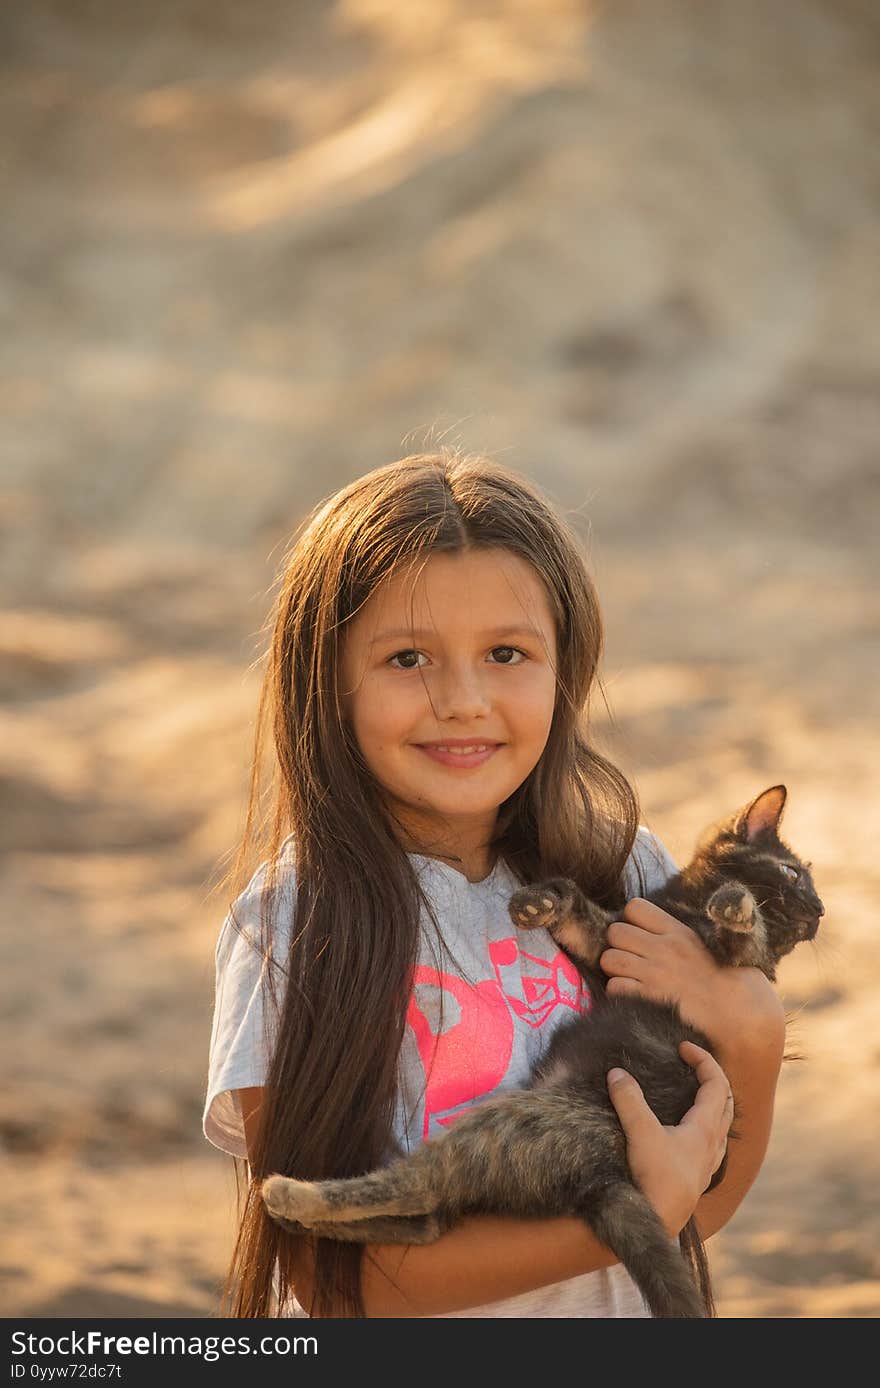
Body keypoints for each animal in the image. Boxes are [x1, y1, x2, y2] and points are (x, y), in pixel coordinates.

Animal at [262, 788, 821, 1315]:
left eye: (805, 885)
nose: (817, 912)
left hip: (511, 1126)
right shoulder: (612, 942)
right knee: (429, 1220)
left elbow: (747, 933)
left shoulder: (740, 963)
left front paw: (734, 903)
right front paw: (535, 903)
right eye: (792, 873)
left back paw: (290, 1194)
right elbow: (579, 908)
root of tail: (607, 1178)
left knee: (421, 1189)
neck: (686, 909)